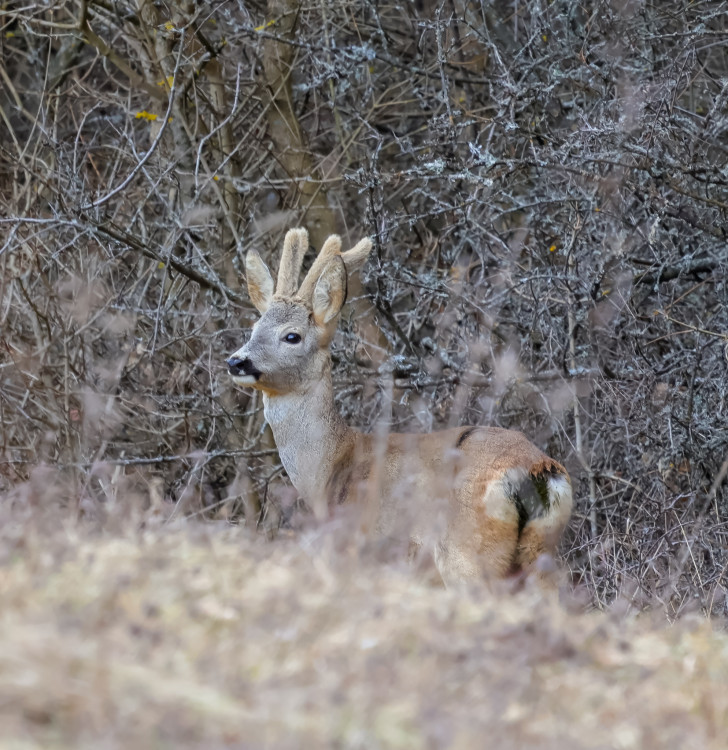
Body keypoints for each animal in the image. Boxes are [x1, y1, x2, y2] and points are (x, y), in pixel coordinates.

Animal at [229, 229, 576, 588]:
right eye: (254, 329)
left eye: (292, 336)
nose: (236, 361)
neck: (329, 469)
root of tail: (537, 470)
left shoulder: (357, 549)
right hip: (540, 554)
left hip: (466, 554)